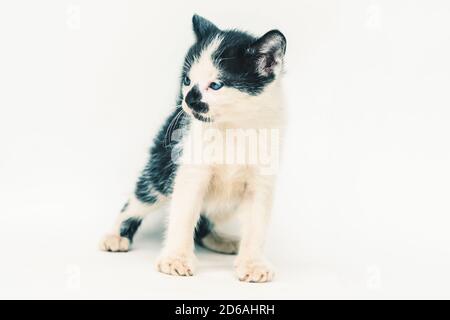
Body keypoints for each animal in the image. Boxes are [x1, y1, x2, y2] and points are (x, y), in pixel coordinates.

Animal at [100, 14, 286, 282]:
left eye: (216, 85)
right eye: (187, 80)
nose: (188, 99)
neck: (232, 128)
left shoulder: (262, 179)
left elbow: (256, 222)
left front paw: (253, 263)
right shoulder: (189, 169)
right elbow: (184, 214)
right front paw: (176, 258)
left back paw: (219, 240)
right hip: (162, 164)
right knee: (140, 197)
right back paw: (116, 235)